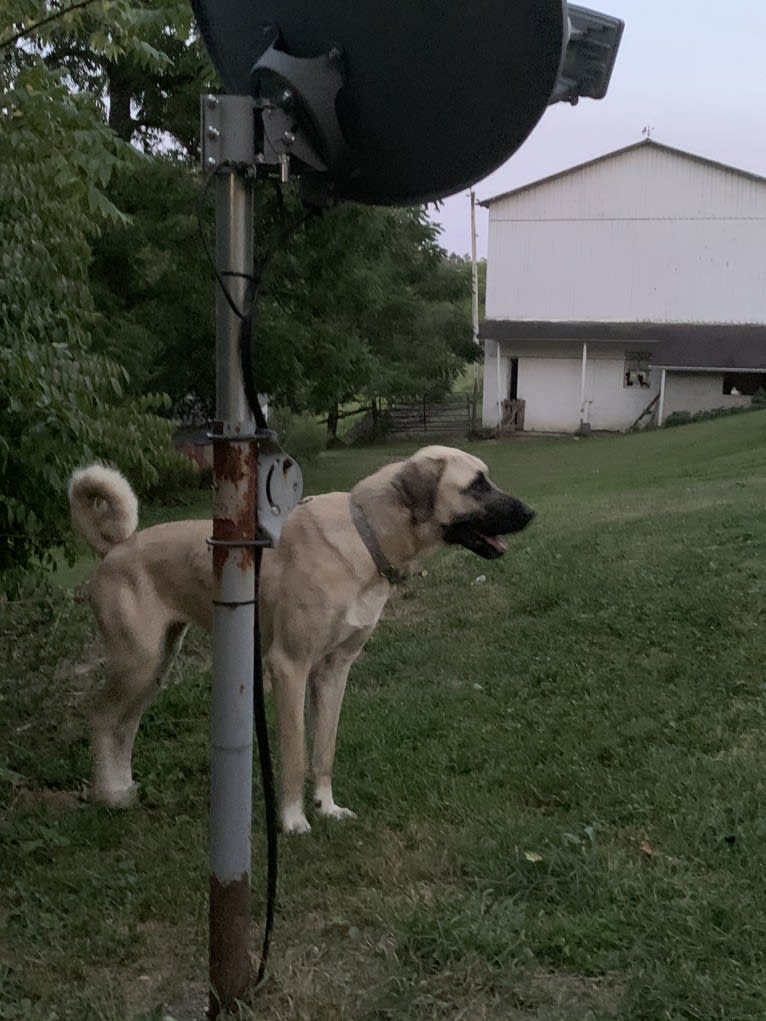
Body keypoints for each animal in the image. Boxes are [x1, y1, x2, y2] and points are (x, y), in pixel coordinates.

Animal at [70, 445, 535, 829]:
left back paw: (123, 788)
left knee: (125, 723)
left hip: (156, 666)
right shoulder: (288, 667)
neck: (365, 540)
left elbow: (323, 750)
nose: (531, 513)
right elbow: (294, 756)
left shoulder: (334, 671)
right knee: (102, 718)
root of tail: (117, 546)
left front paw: (327, 808)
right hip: (137, 661)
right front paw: (293, 821)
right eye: (477, 485)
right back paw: (109, 795)